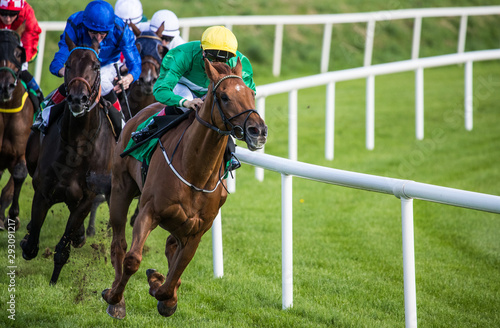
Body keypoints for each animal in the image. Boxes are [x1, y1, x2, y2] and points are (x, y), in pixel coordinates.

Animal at [20, 34, 115, 284]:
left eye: (96, 65)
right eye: (69, 64)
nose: (78, 99)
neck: (77, 145)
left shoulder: (87, 198)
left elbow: (64, 245)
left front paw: (53, 280)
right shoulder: (43, 190)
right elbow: (31, 244)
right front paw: (26, 239)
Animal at [99, 58, 268, 318]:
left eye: (252, 93)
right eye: (224, 96)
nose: (258, 131)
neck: (195, 171)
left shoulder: (197, 229)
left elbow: (175, 274)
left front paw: (161, 290)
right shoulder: (148, 212)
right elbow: (132, 260)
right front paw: (114, 296)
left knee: (170, 247)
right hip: (121, 188)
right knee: (119, 244)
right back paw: (116, 301)